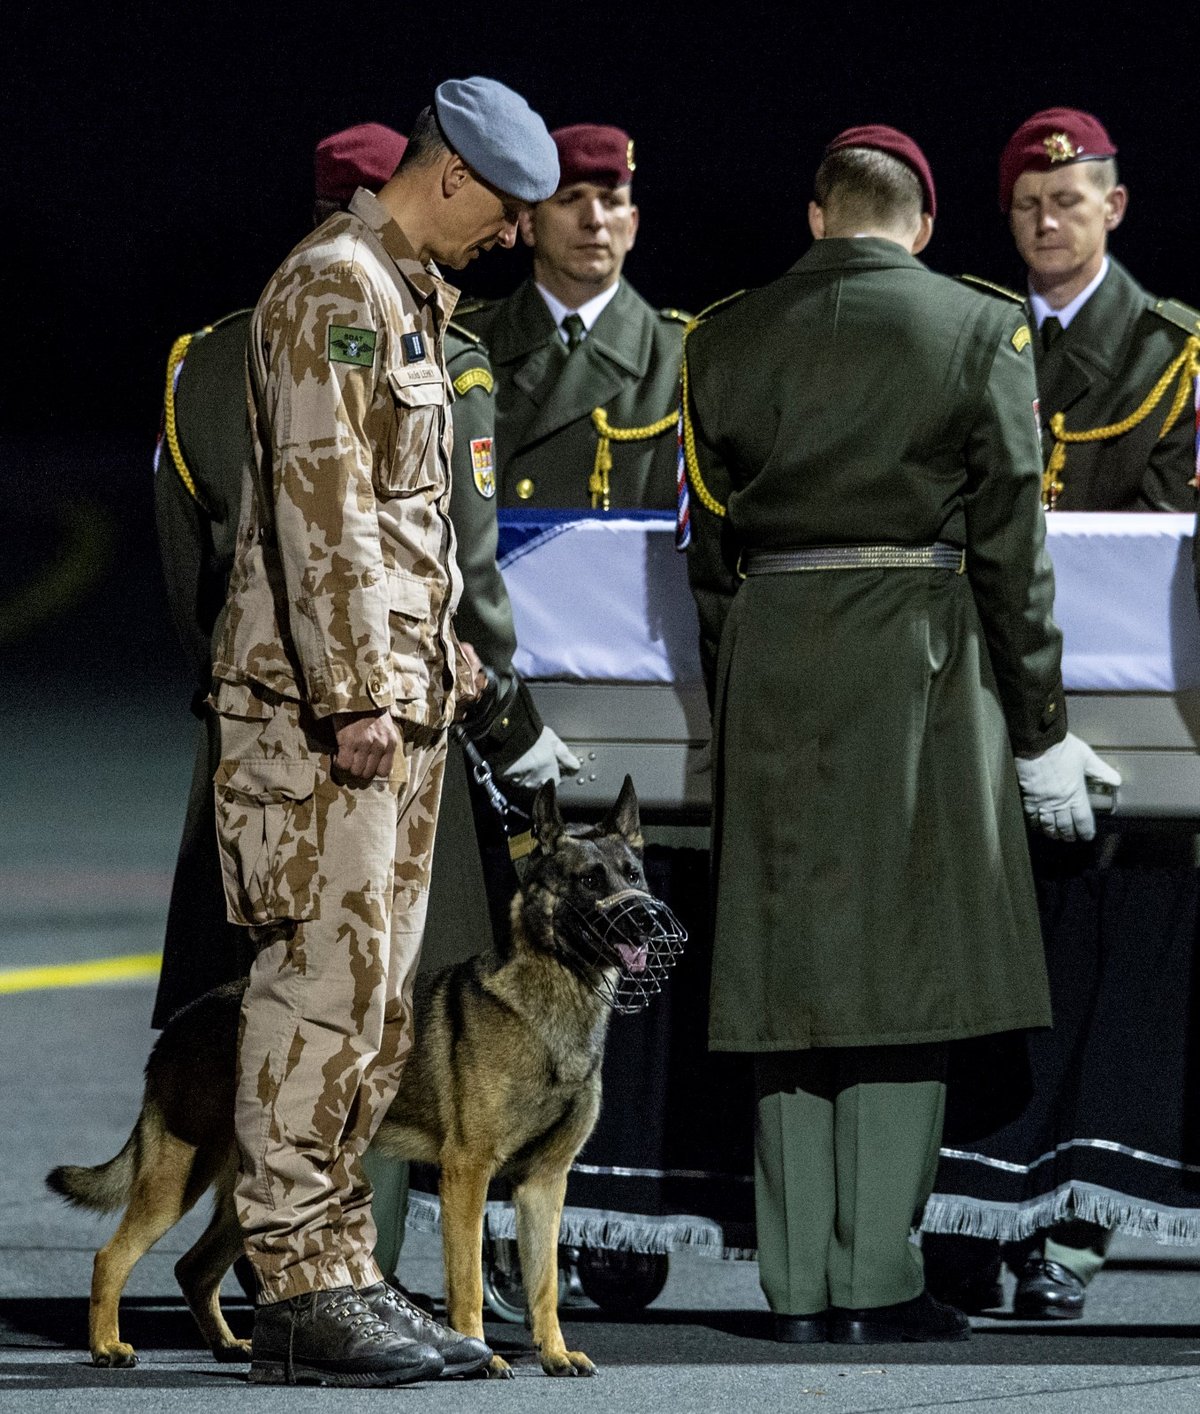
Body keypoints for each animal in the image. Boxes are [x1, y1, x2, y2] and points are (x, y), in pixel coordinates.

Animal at [46, 780, 684, 1374]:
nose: (650, 919)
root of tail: (178, 1023)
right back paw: (106, 1346)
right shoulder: (467, 1174)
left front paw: (554, 1354)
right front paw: (483, 1355)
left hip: (254, 1191)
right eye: (590, 881)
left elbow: (545, 1284)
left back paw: (229, 1345)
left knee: (194, 1267)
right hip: (178, 1176)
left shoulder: (544, 1184)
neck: (553, 997)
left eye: (634, 874)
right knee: (111, 1257)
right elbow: (468, 1285)